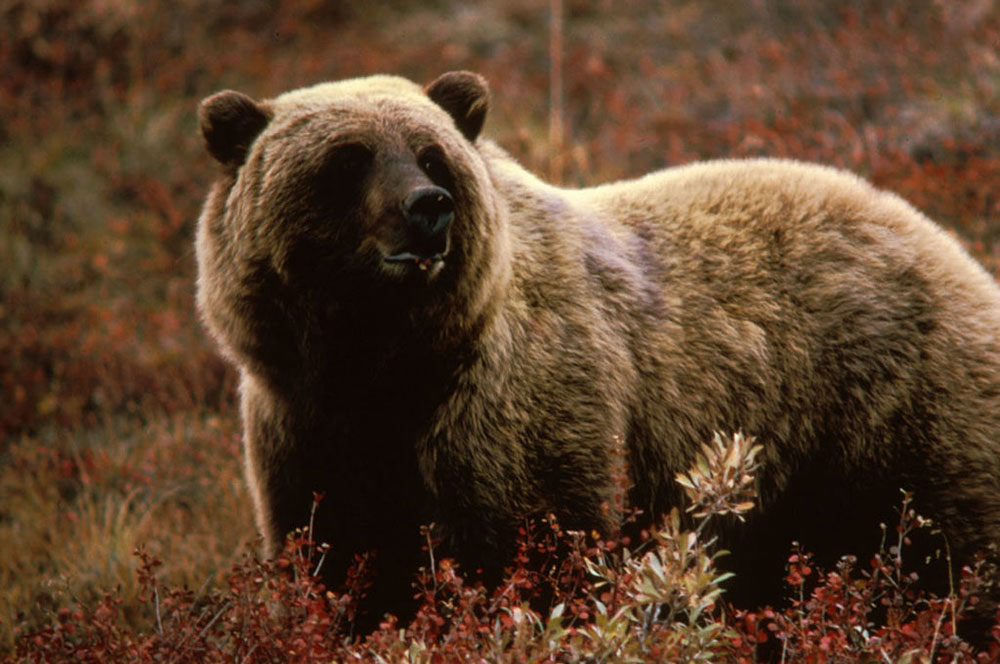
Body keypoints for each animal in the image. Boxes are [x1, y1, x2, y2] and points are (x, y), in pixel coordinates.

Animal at [195, 70, 1000, 624]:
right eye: (350, 157)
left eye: (430, 154)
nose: (428, 209)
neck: (383, 363)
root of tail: (947, 244)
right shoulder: (304, 429)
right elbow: (336, 562)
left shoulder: (513, 411)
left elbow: (532, 554)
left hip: (891, 416)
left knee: (953, 553)